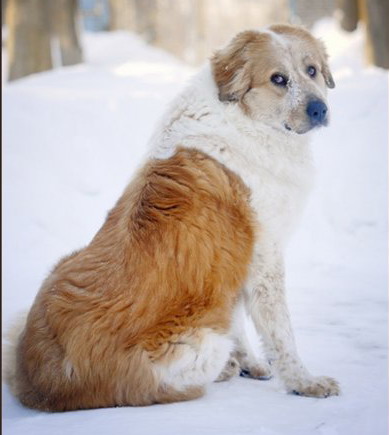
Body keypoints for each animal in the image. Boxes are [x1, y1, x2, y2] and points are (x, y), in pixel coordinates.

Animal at [6, 24, 340, 412]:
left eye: (312, 70)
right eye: (278, 79)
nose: (319, 109)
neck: (245, 118)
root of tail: (42, 384)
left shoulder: (229, 262)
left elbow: (235, 319)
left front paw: (251, 362)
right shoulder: (263, 257)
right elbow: (281, 333)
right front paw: (304, 382)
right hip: (200, 345)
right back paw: (224, 369)